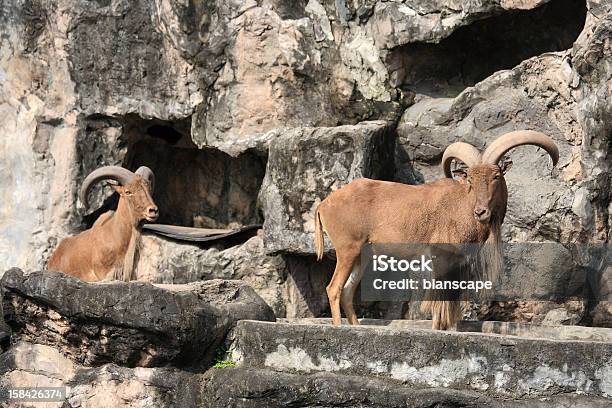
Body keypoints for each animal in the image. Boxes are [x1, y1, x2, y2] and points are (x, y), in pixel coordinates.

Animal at [316, 132, 560, 330]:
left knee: (347, 292)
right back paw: (339, 327)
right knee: (334, 288)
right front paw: (438, 328)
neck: (462, 204)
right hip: (348, 249)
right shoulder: (440, 256)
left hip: (362, 255)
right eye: (470, 178)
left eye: (496, 176)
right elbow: (439, 298)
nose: (480, 212)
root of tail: (324, 204)